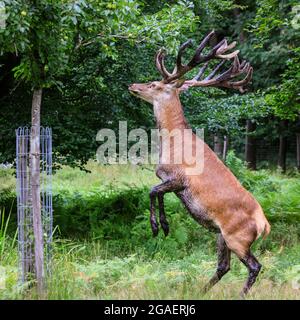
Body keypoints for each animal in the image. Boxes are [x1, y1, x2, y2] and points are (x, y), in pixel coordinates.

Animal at [127, 31, 270, 296]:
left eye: (154, 84)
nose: (133, 85)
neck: (171, 143)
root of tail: (264, 225)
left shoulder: (178, 178)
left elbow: (152, 191)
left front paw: (157, 227)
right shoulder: (170, 181)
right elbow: (157, 193)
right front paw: (165, 226)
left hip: (238, 237)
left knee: (255, 266)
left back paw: (239, 294)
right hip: (223, 236)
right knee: (223, 266)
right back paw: (201, 291)